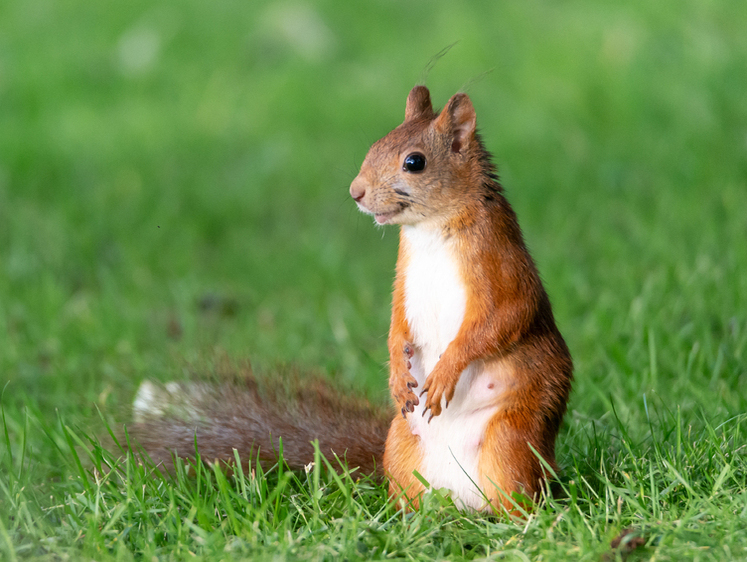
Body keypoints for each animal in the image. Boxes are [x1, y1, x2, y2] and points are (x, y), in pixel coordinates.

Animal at [131, 85, 572, 510]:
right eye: (375, 145)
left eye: (415, 162)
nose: (355, 192)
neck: (431, 229)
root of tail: (463, 501)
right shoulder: (403, 277)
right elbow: (397, 324)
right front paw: (396, 375)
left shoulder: (501, 265)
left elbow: (504, 318)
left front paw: (446, 371)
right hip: (400, 446)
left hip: (510, 443)